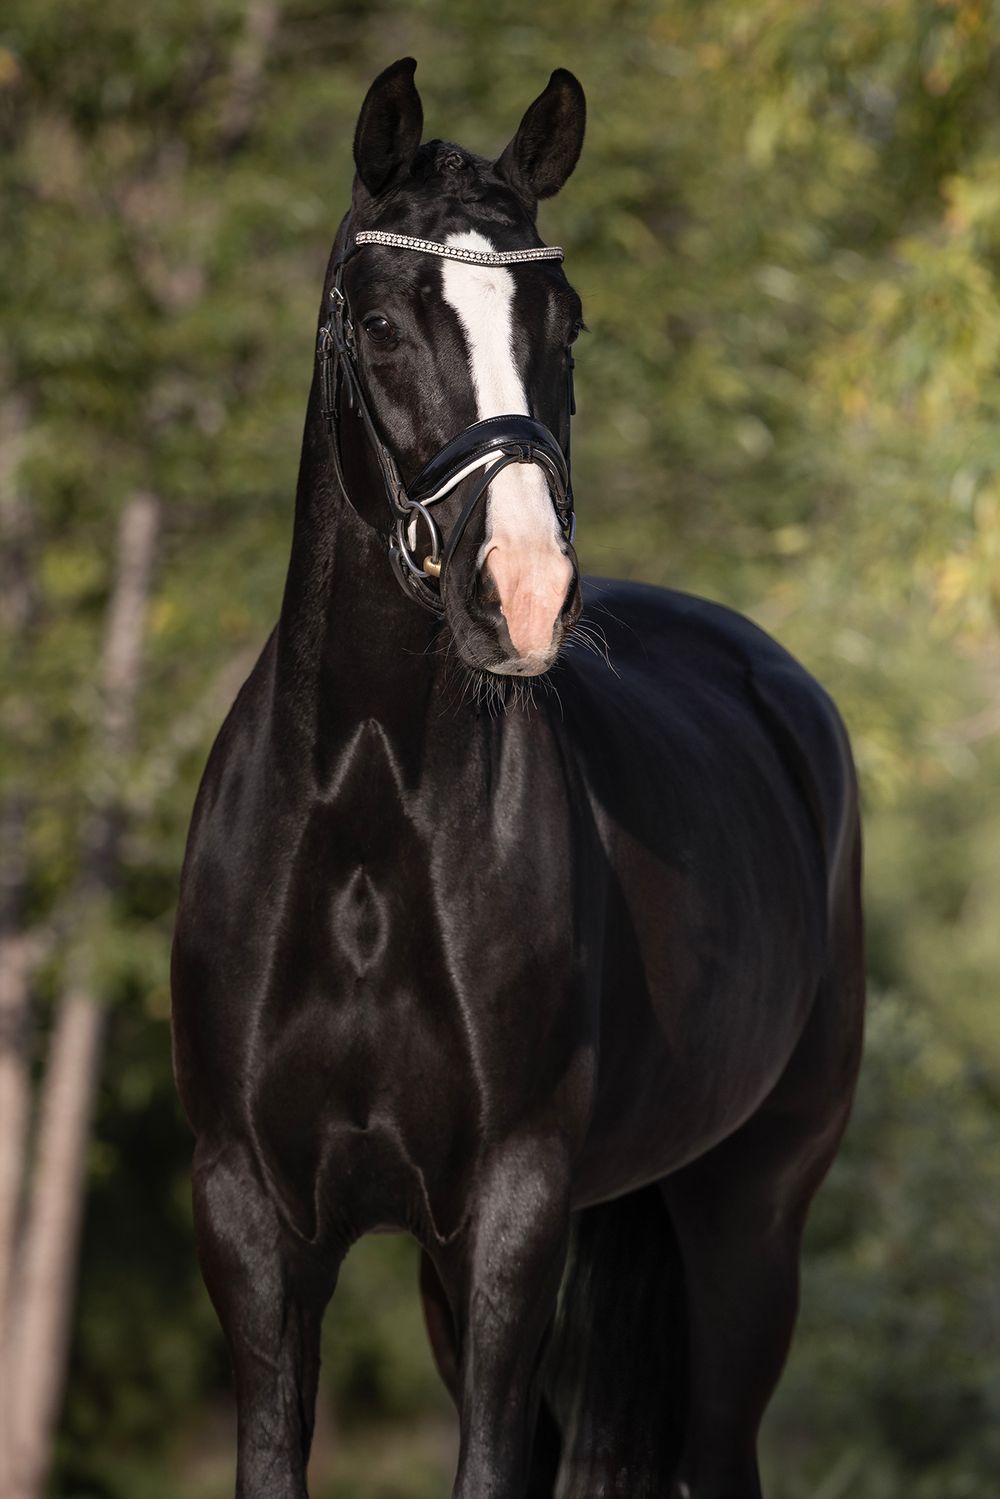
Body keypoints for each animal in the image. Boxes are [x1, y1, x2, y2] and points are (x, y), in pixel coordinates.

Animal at [171, 58, 865, 1499]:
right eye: (382, 323)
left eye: (567, 325)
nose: (527, 595)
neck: (365, 817)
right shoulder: (252, 1216)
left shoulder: (511, 1208)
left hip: (750, 1211)